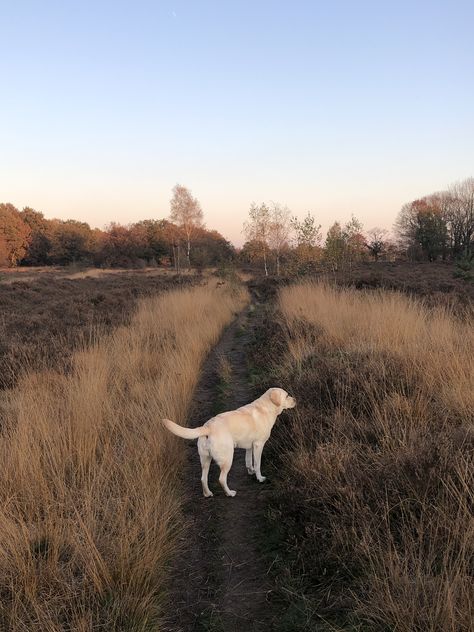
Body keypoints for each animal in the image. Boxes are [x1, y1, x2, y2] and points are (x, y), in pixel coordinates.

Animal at [165, 388, 294, 496]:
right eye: (287, 395)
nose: (295, 400)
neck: (266, 408)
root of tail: (207, 427)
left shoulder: (250, 446)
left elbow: (248, 461)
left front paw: (250, 471)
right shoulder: (258, 444)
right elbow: (257, 464)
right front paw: (260, 478)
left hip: (205, 459)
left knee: (203, 478)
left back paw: (207, 494)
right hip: (227, 458)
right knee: (221, 479)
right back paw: (230, 493)